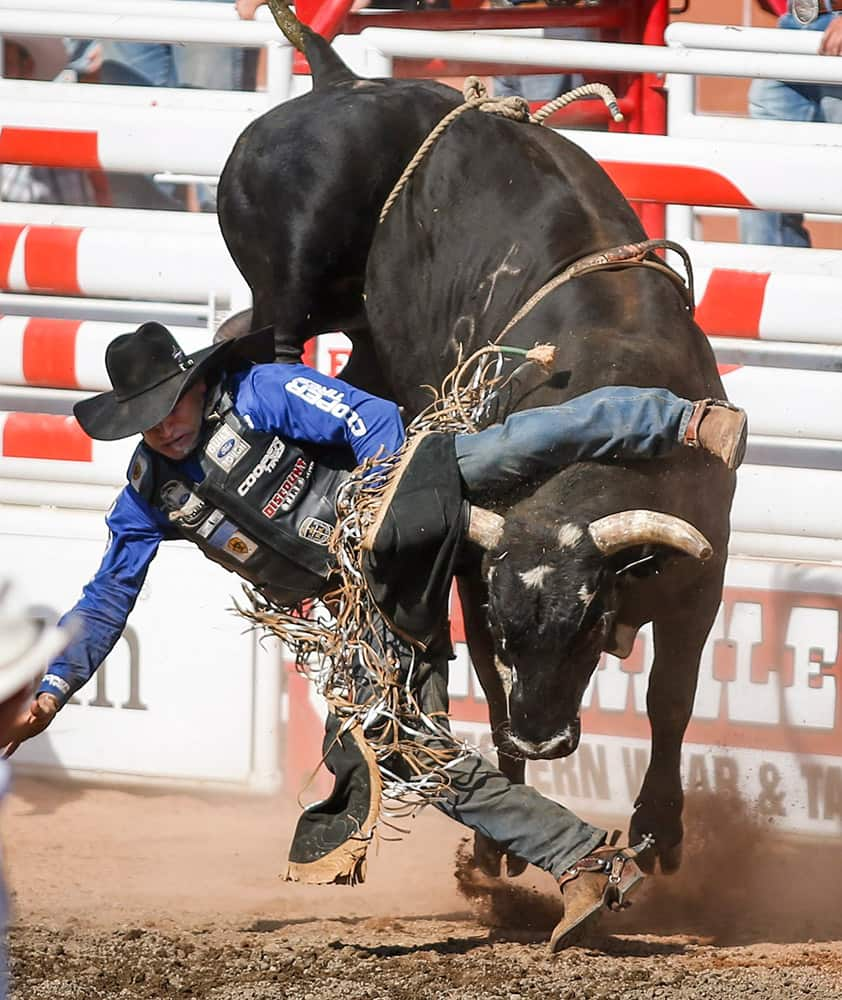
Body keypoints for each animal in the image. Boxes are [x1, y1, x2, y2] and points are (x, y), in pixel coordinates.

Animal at [218, 33, 736, 876]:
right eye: (501, 613)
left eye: (593, 619)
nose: (543, 738)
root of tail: (342, 81)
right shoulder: (471, 574)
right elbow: (493, 685)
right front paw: (498, 848)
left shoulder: (699, 579)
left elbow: (671, 701)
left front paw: (660, 830)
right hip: (290, 277)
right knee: (265, 342)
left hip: (361, 327)